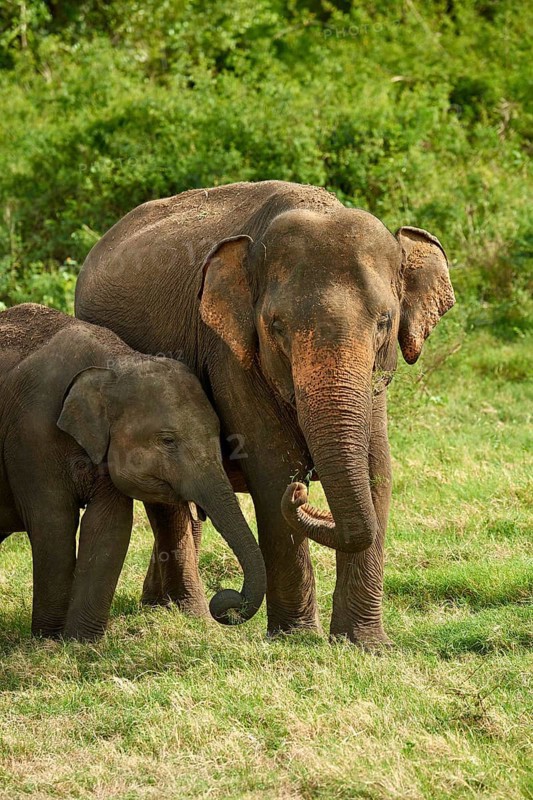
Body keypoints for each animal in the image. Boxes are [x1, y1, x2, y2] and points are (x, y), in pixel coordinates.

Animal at [0, 303, 266, 641]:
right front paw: (48, 640)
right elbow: (53, 524)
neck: (116, 362)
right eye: (167, 441)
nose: (225, 602)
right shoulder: (31, 435)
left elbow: (109, 526)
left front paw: (80, 643)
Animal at [75, 180, 455, 647]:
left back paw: (160, 605)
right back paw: (193, 614)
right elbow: (272, 469)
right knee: (166, 500)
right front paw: (297, 639)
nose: (304, 495)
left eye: (385, 320)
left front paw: (366, 645)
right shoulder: (229, 354)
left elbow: (376, 469)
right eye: (276, 326)